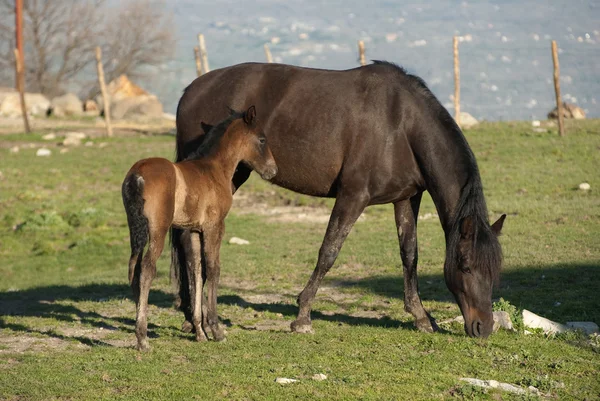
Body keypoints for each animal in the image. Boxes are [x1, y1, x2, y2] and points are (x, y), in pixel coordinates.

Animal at [125, 107, 280, 350]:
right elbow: (213, 269)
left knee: (134, 266)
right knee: (147, 268)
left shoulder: (193, 230)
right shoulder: (214, 227)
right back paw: (142, 337)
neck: (214, 169)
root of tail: (137, 174)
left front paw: (200, 331)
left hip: (136, 229)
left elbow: (196, 271)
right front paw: (216, 329)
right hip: (158, 230)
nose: (272, 170)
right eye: (262, 139)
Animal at [173, 61, 506, 338]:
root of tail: (190, 90)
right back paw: (192, 317)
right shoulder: (353, 196)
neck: (401, 125)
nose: (484, 327)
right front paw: (302, 315)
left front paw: (421, 316)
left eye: (495, 269)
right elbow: (329, 252)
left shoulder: (406, 199)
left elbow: (409, 255)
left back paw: (190, 314)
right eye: (465, 266)